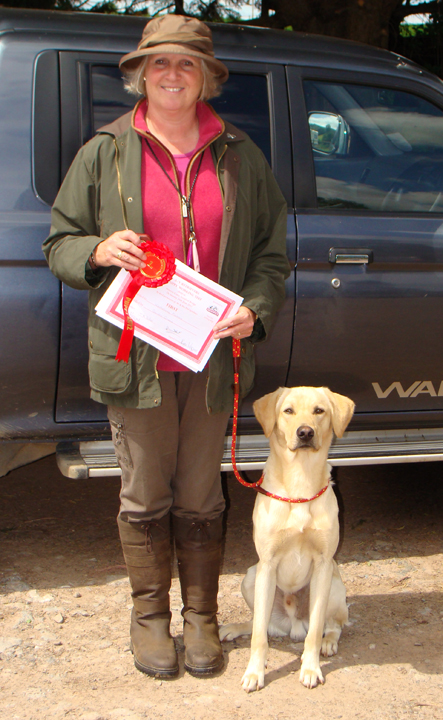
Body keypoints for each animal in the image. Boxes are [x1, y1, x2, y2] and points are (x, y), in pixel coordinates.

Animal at [222, 388, 358, 692]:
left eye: (319, 410)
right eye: (288, 411)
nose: (305, 432)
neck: (300, 482)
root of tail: (293, 625)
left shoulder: (323, 564)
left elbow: (316, 630)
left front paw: (310, 669)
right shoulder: (267, 563)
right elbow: (258, 637)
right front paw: (254, 673)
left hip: (334, 584)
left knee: (334, 625)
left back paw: (328, 643)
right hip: (251, 577)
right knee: (261, 624)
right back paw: (233, 628)